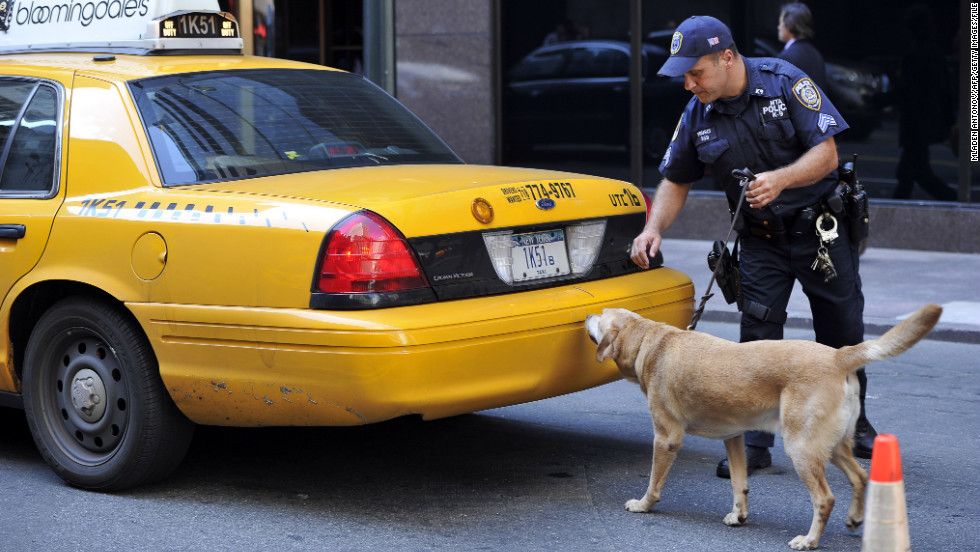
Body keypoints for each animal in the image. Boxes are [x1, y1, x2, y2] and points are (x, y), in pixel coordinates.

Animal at [584, 304, 936, 548]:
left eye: (601, 315)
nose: (587, 314)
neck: (651, 342)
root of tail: (838, 356)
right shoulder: (734, 438)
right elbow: (739, 483)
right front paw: (739, 515)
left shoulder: (666, 437)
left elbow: (654, 482)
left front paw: (643, 505)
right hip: (832, 446)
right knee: (860, 477)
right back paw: (855, 518)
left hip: (802, 449)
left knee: (824, 498)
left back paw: (810, 540)